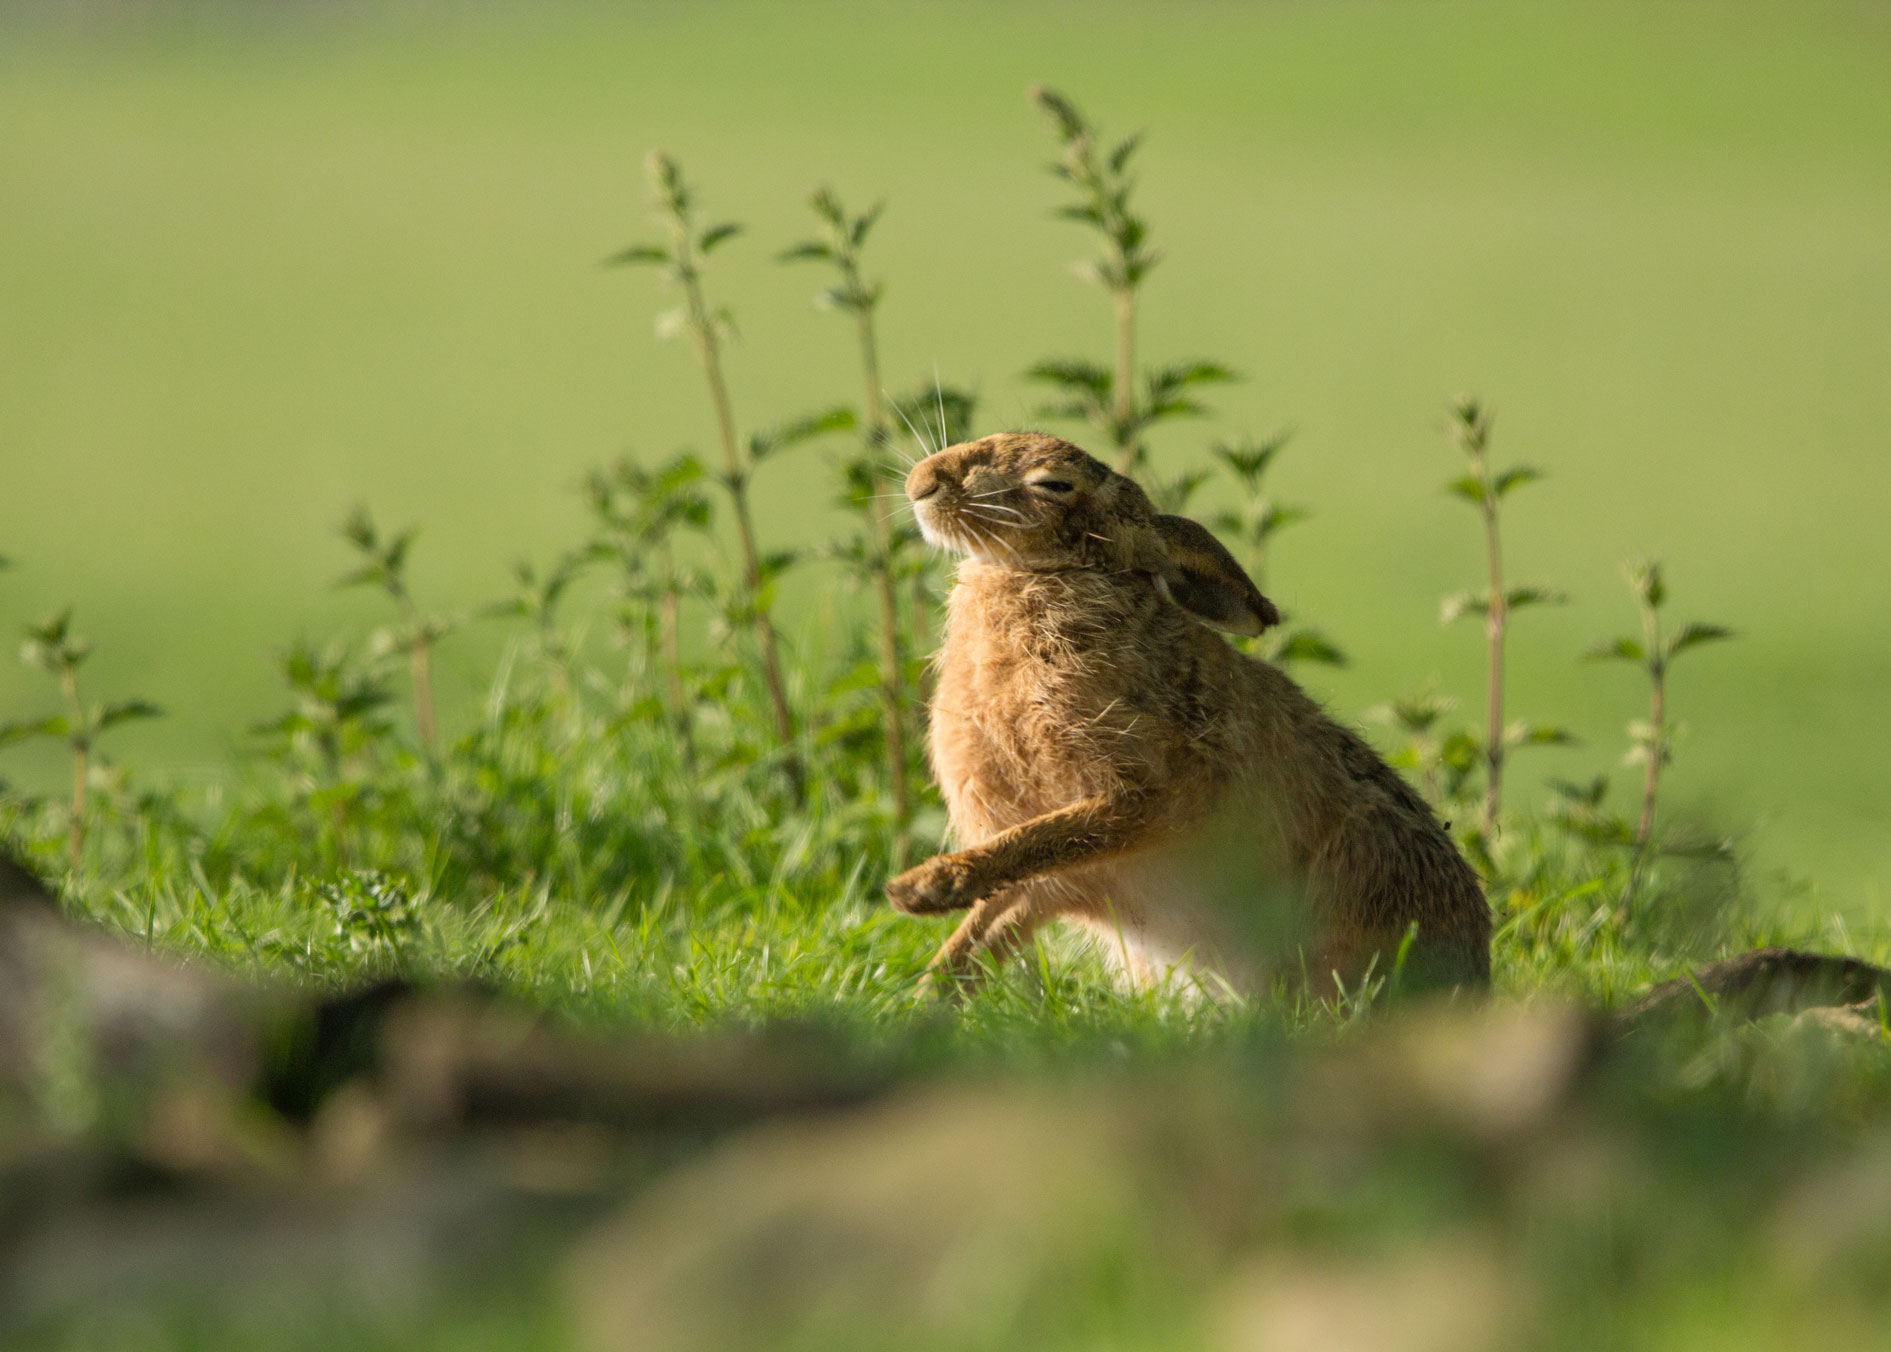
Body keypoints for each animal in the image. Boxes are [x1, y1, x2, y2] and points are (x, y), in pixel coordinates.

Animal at [885, 431, 1491, 998]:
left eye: (1053, 484)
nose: (922, 482)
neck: (1054, 572)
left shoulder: (1155, 792)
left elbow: (1051, 838)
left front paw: (920, 889)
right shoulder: (1048, 875)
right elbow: (981, 927)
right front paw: (923, 997)